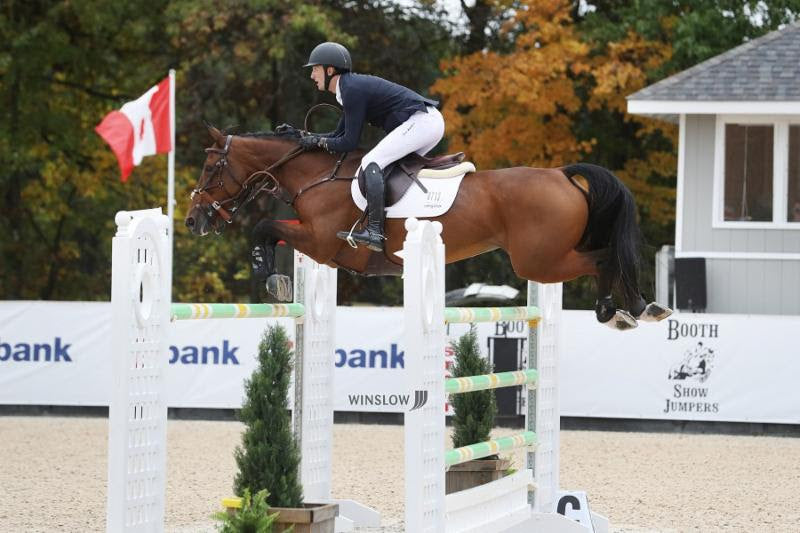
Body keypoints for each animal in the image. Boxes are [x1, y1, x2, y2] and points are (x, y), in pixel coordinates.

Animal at [186, 124, 668, 328]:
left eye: (210, 168)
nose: (193, 220)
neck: (316, 175)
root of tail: (562, 175)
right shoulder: (318, 243)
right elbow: (270, 227)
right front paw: (273, 277)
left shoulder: (321, 242)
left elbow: (265, 226)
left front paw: (270, 278)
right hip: (545, 259)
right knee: (608, 258)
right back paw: (642, 307)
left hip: (539, 262)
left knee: (604, 258)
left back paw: (615, 309)